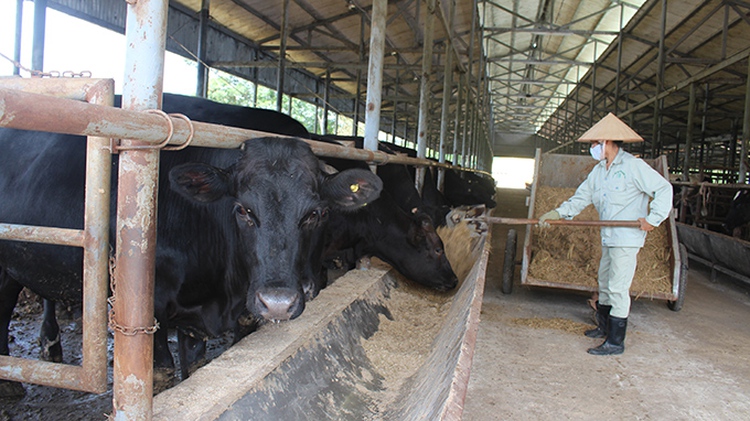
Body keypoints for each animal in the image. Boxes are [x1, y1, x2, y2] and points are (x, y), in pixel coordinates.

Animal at [0, 95, 382, 396]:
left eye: (317, 212)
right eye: (243, 210)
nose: (278, 303)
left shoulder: (220, 315)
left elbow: (196, 367)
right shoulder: (148, 311)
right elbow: (162, 373)